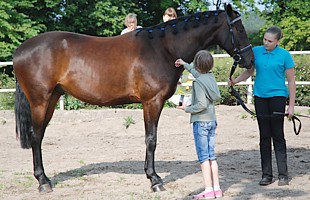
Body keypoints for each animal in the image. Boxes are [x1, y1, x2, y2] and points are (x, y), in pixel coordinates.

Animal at [13, 3, 253, 193]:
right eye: (240, 29)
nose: (249, 60)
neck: (162, 48)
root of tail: (20, 50)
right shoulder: (152, 102)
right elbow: (151, 139)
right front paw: (155, 180)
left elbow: (150, 139)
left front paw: (151, 175)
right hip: (40, 101)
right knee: (35, 136)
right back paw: (43, 182)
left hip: (52, 99)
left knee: (40, 136)